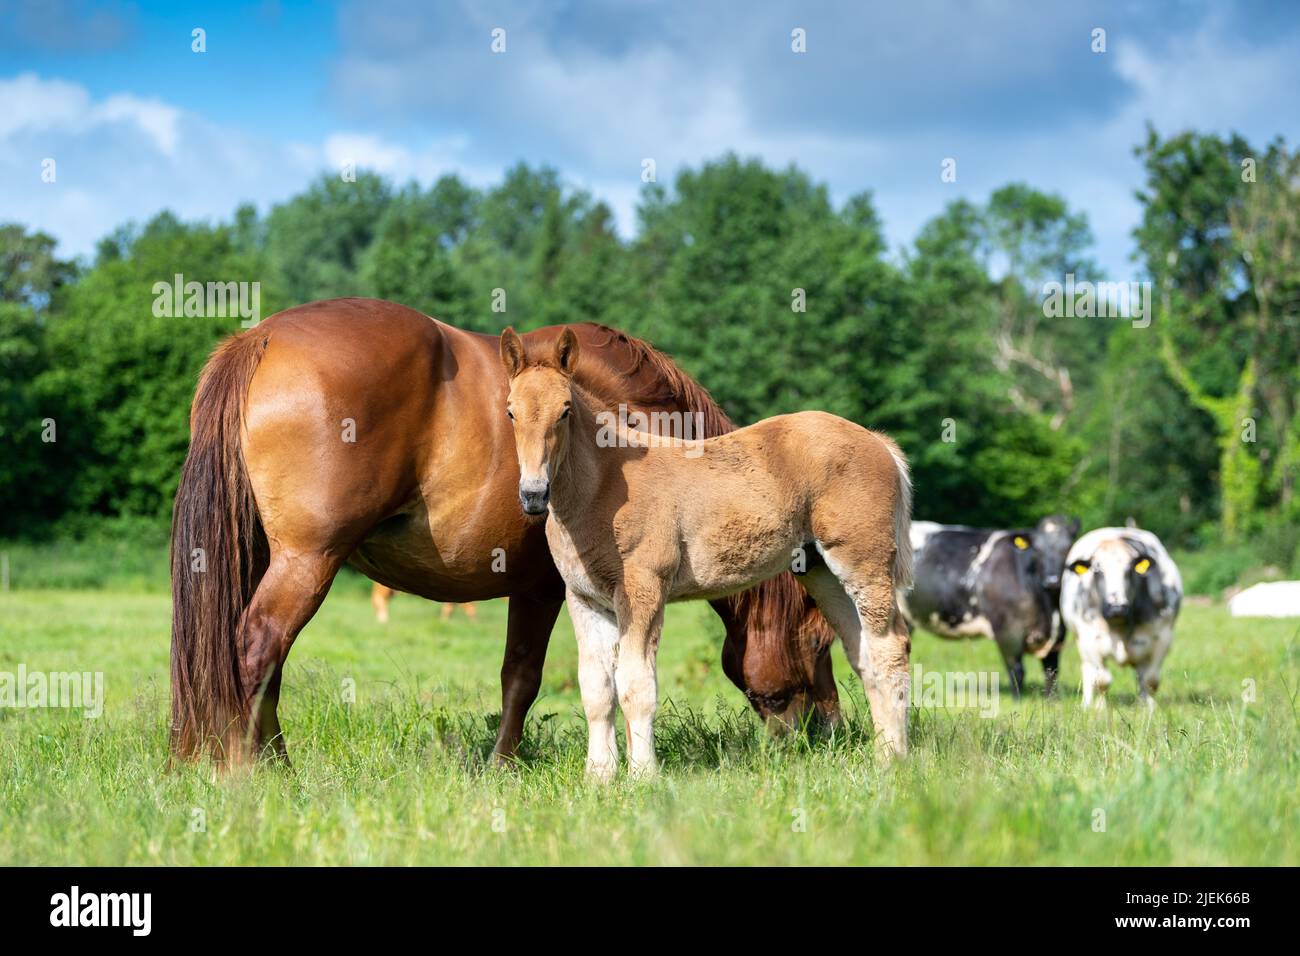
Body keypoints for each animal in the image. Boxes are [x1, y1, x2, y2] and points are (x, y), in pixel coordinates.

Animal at [169, 298, 839, 764]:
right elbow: (527, 679)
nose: (829, 733)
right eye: (818, 640)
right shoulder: (546, 588)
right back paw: (262, 770)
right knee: (258, 649)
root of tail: (260, 337)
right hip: (308, 560)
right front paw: (506, 765)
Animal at [499, 326, 913, 779]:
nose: (533, 494)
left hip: (863, 562)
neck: (603, 486)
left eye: (566, 410)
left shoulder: (643, 591)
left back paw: (894, 761)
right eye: (511, 412)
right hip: (821, 570)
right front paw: (600, 778)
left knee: (890, 649)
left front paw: (642, 775)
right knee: (863, 653)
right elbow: (596, 689)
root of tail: (878, 442)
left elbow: (636, 686)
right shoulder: (585, 599)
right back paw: (881, 757)